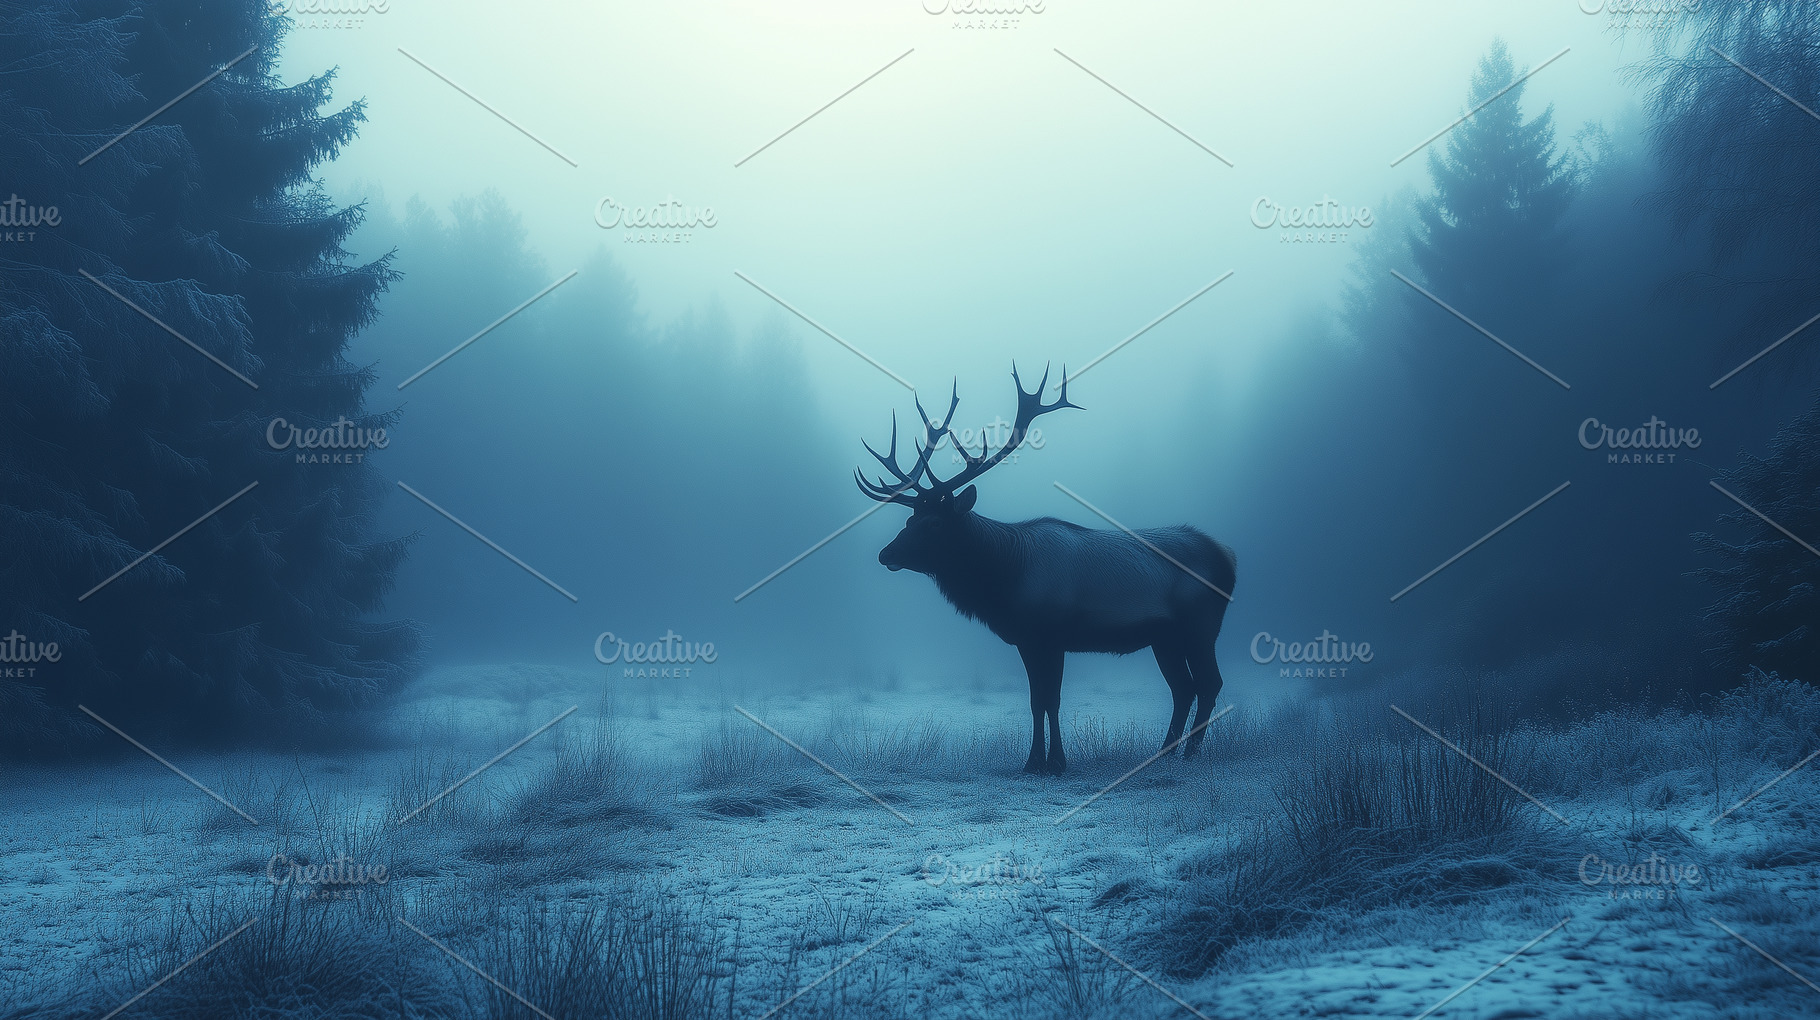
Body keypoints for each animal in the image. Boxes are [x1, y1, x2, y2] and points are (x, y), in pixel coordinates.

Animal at [857, 365, 1236, 775]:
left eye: (935, 524)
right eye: (910, 520)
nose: (885, 554)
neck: (1005, 580)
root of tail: (1228, 556)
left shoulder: (1051, 635)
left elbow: (1049, 700)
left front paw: (1054, 762)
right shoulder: (1027, 640)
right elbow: (1035, 701)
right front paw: (1033, 762)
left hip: (1200, 624)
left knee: (1208, 684)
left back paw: (1190, 754)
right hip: (1164, 637)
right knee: (1183, 688)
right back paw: (1162, 754)